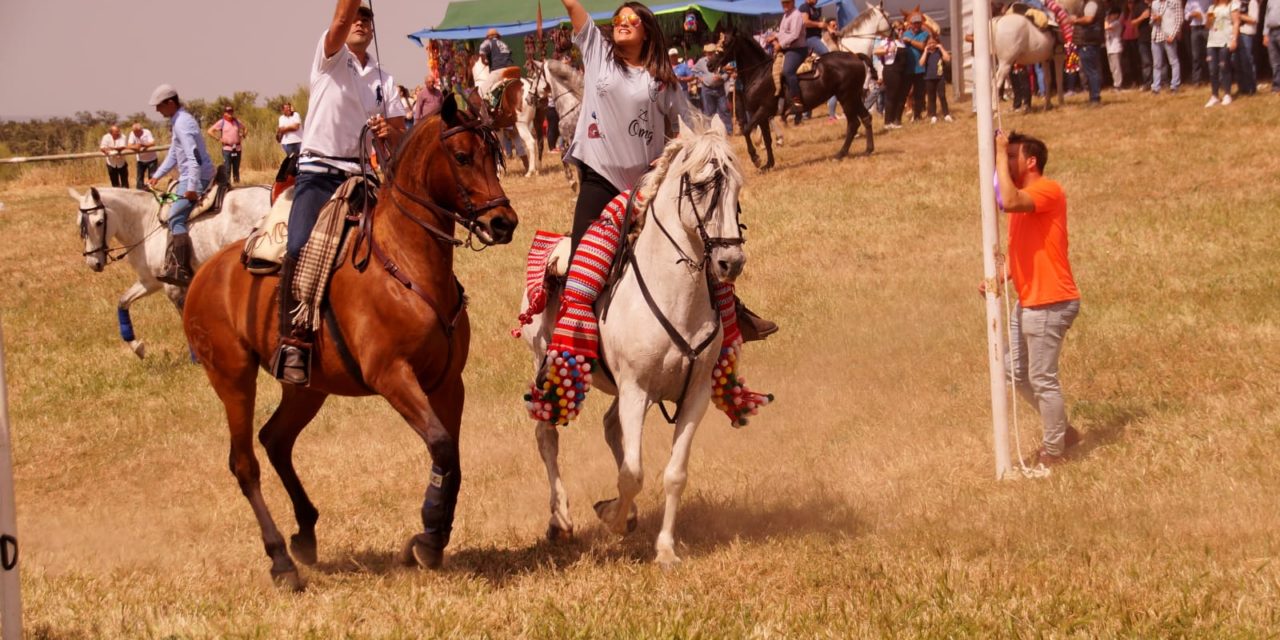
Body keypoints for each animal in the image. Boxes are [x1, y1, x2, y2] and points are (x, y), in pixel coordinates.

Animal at [181, 94, 519, 588]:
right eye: (461, 156)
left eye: (494, 154)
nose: (503, 222)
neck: (406, 263)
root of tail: (203, 274)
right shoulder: (393, 376)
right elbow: (440, 445)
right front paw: (429, 539)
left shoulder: (447, 382)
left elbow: (451, 457)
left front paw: (429, 538)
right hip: (232, 379)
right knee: (245, 463)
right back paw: (280, 559)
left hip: (306, 388)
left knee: (275, 439)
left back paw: (305, 534)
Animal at [519, 115, 747, 565]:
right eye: (700, 185)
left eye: (737, 187)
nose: (731, 262)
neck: (675, 295)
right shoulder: (636, 390)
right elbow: (633, 473)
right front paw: (612, 516)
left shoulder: (693, 395)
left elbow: (673, 473)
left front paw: (665, 549)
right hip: (547, 364)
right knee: (547, 436)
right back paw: (560, 521)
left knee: (610, 428)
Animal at [716, 29, 875, 170]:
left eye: (726, 43)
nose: (711, 64)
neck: (759, 73)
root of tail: (855, 56)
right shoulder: (762, 115)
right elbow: (767, 139)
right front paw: (768, 164)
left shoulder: (763, 110)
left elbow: (747, 130)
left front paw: (756, 158)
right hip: (854, 97)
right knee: (866, 118)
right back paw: (868, 150)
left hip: (847, 97)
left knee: (853, 124)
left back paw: (840, 154)